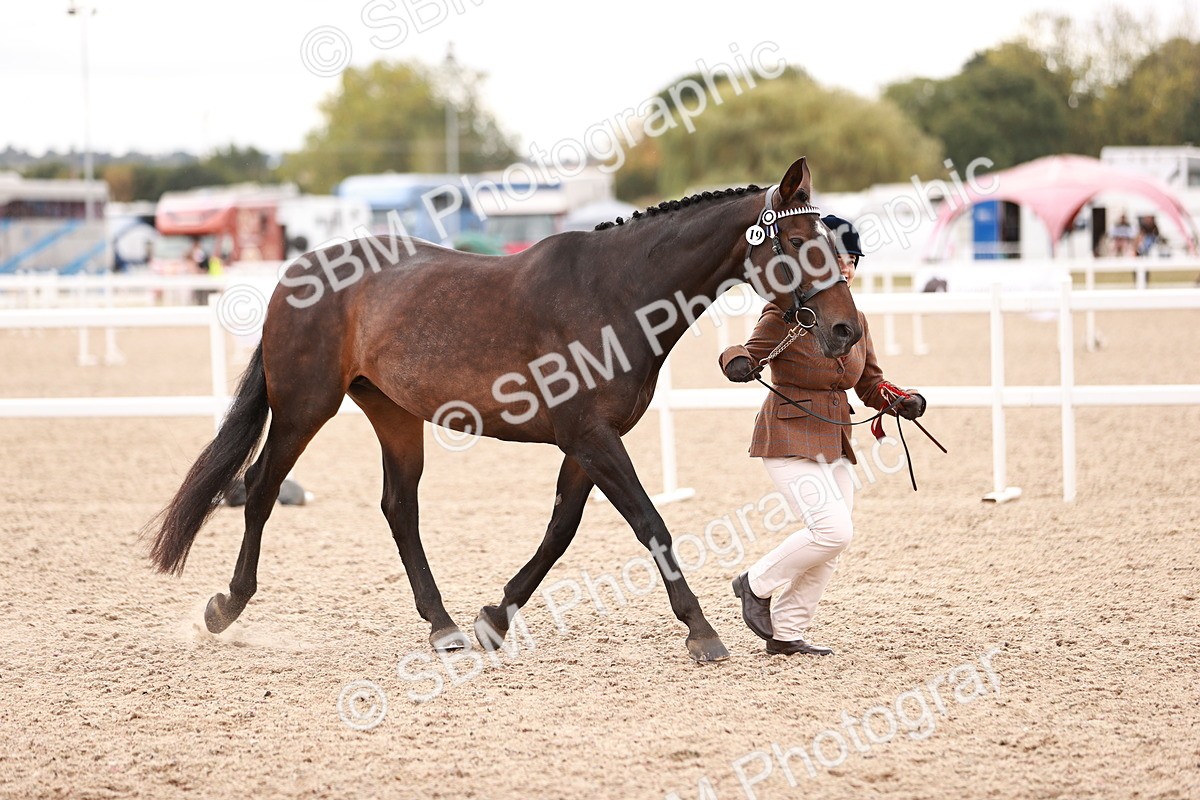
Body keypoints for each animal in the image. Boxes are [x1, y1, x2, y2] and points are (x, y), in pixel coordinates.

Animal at [144, 157, 863, 663]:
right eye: (799, 242)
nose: (845, 331)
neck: (616, 293)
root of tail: (297, 271)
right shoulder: (591, 436)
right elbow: (649, 523)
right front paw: (703, 632)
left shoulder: (585, 442)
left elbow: (560, 530)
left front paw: (494, 619)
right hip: (303, 407)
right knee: (261, 488)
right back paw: (224, 607)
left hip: (393, 414)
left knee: (398, 507)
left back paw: (443, 627)